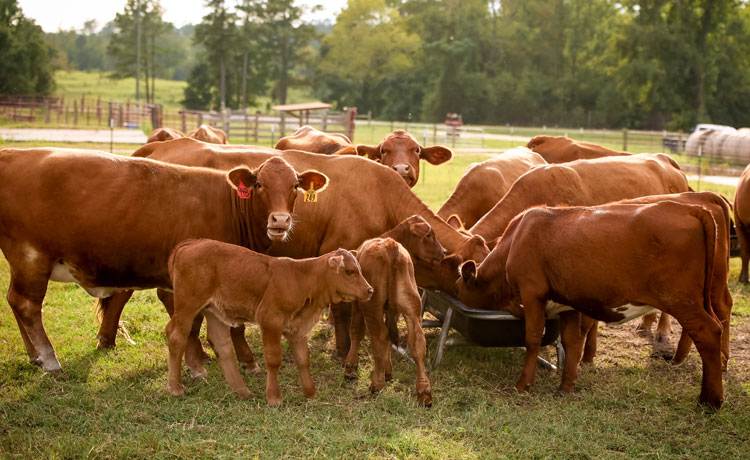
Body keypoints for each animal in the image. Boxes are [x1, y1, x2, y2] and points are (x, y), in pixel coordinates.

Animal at [0, 149, 328, 376]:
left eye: (296, 186)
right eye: (259, 183)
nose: (280, 221)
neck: (227, 205)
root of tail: (12, 154)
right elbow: (193, 322)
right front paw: (199, 365)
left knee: (15, 301)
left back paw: (35, 356)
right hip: (32, 257)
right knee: (28, 306)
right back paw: (50, 360)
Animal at [167, 241, 374, 406]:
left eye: (360, 269)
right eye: (349, 271)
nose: (370, 290)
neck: (301, 279)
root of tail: (190, 244)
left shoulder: (297, 328)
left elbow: (303, 359)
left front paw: (310, 393)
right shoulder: (270, 320)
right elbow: (274, 359)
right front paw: (274, 398)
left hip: (213, 311)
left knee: (221, 344)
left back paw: (242, 391)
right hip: (187, 306)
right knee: (176, 337)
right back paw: (176, 388)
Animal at [456, 201, 724, 410]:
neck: (516, 240)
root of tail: (689, 208)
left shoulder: (532, 295)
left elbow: (532, 339)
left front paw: (523, 384)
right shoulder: (567, 304)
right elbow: (571, 342)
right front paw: (566, 386)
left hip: (681, 301)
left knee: (709, 333)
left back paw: (710, 401)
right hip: (700, 300)